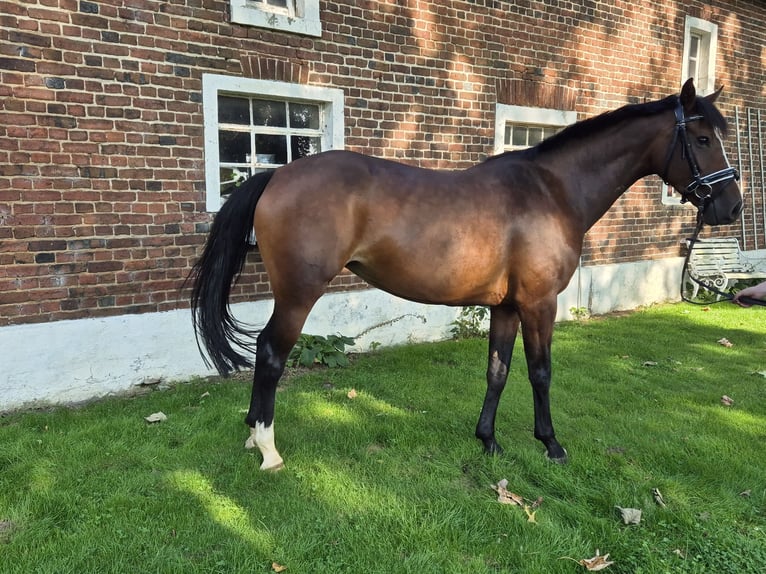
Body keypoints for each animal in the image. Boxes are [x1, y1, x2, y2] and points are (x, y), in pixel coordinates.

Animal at [189, 78, 742, 470]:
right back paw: (267, 447)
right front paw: (551, 444)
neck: (551, 191)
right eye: (701, 137)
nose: (731, 206)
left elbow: (498, 370)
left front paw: (488, 441)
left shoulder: (506, 307)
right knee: (270, 354)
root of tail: (277, 174)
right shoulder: (539, 303)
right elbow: (540, 372)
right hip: (299, 294)